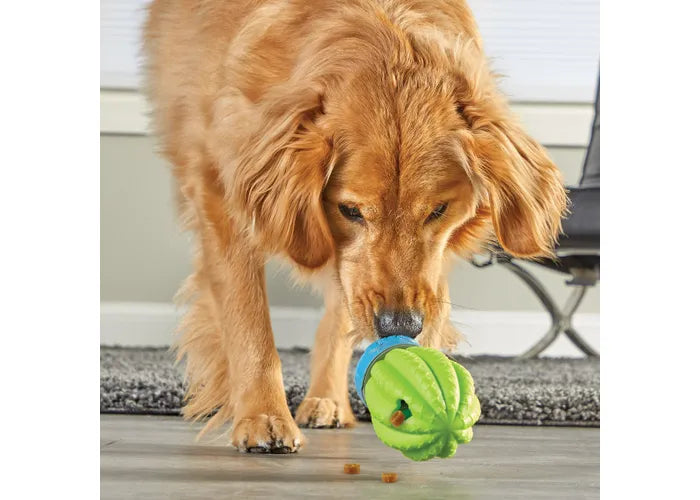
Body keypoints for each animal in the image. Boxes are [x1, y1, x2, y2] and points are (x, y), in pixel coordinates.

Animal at [144, 0, 568, 454]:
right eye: (350, 211)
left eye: (438, 210)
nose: (402, 328)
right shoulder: (222, 193)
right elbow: (249, 320)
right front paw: (263, 417)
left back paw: (326, 400)